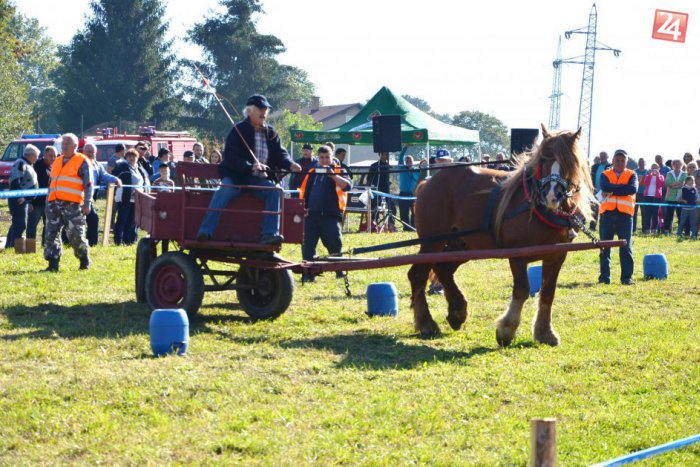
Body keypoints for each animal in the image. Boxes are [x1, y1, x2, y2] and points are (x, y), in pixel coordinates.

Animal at [408, 126, 592, 346]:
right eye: (544, 160)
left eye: (568, 162)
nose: (551, 195)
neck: (537, 208)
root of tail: (428, 182)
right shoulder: (517, 254)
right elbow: (522, 289)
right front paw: (507, 330)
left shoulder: (556, 255)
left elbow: (548, 293)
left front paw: (545, 332)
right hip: (432, 242)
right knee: (418, 275)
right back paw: (426, 323)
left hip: (462, 245)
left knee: (443, 270)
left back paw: (457, 312)